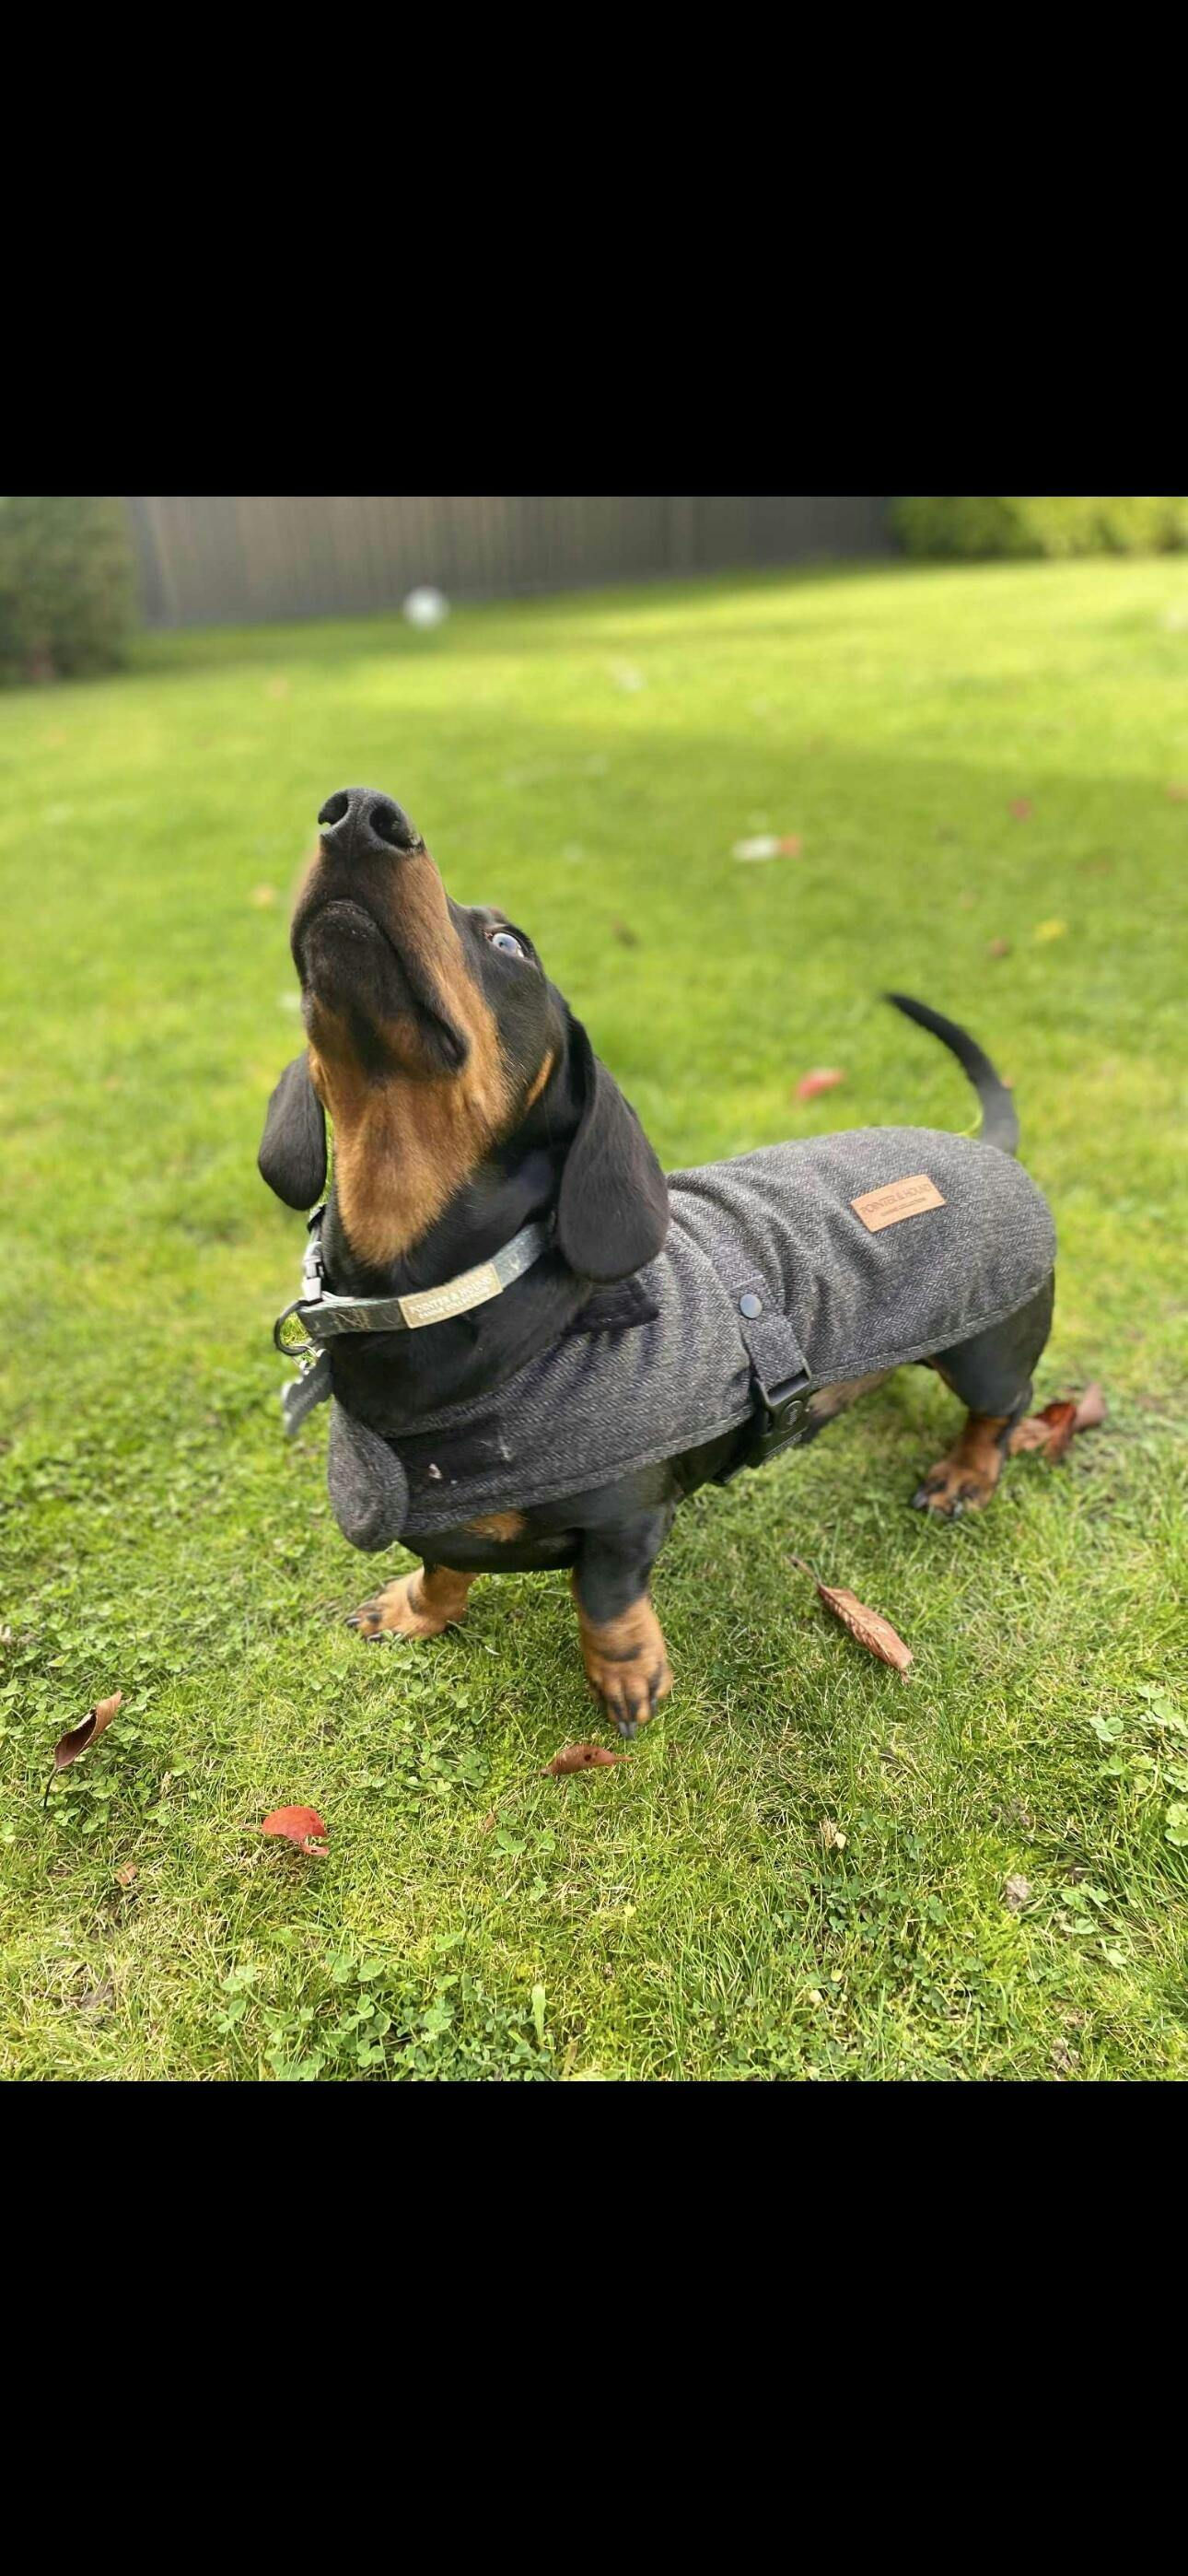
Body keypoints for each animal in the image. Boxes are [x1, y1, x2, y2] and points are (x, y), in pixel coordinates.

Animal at [259, 787, 1056, 1734]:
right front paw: (419, 1610)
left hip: (988, 1350)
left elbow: (604, 1598)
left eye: (510, 944)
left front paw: (628, 1676)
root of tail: (986, 1146)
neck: (450, 1301)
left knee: (1003, 1411)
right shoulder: (441, 1506)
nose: (359, 813)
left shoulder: (629, 1519)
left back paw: (965, 1475)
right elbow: (444, 1563)